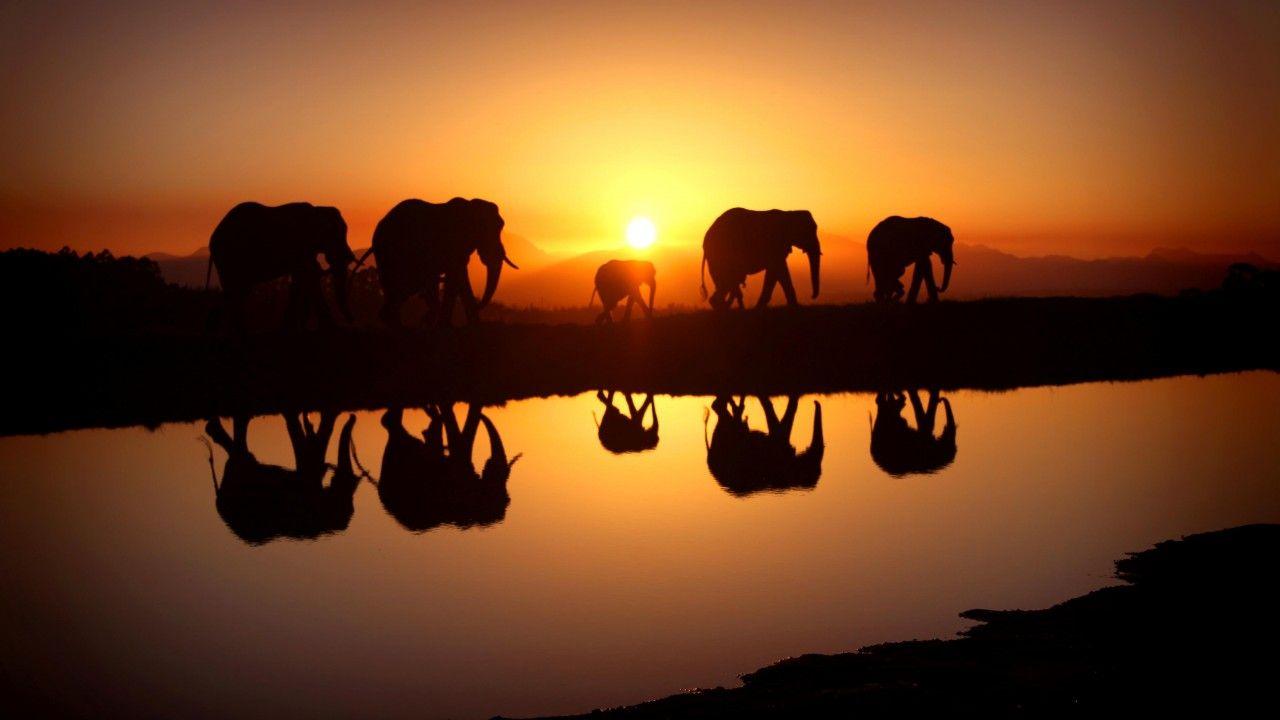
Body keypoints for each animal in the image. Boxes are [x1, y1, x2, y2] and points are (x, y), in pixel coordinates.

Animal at [206, 202, 355, 331]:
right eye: (337, 235)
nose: (352, 321)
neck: (318, 210)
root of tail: (212, 239)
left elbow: (301, 278)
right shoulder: (301, 245)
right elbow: (308, 275)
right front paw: (332, 328)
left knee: (235, 294)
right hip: (230, 258)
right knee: (234, 292)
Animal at [362, 198, 517, 326]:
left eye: (501, 226)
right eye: (485, 229)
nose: (478, 305)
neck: (470, 206)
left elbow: (458, 278)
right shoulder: (453, 243)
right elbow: (457, 275)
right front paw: (445, 325)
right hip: (391, 254)